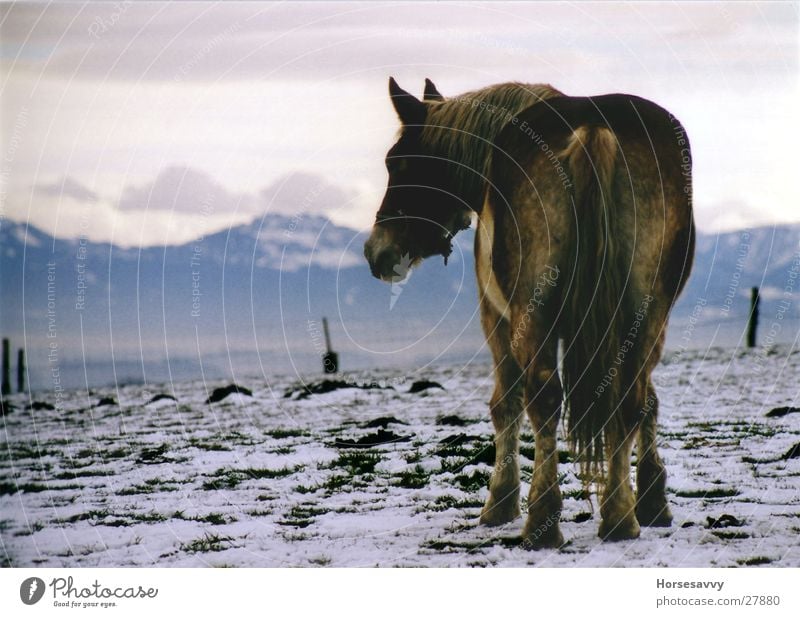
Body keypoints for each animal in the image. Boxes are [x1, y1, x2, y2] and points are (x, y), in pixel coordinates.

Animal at [362, 78, 692, 548]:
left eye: (399, 163)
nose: (378, 253)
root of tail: (595, 130)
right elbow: (648, 402)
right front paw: (653, 502)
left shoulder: (497, 318)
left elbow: (507, 403)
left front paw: (499, 504)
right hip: (646, 313)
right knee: (632, 397)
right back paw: (620, 516)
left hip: (533, 318)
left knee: (546, 399)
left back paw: (544, 521)